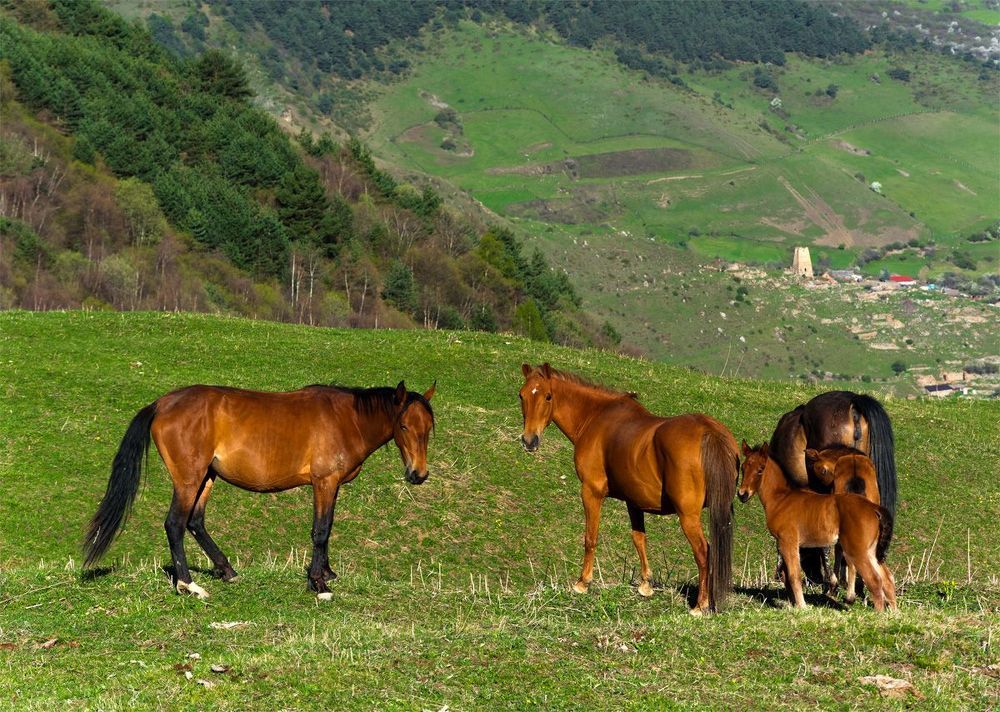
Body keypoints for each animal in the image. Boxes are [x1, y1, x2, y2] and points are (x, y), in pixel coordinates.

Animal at [83, 381, 435, 599]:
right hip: (189, 479)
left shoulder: (332, 486)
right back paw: (189, 585)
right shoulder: (324, 482)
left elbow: (328, 528)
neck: (346, 419)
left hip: (207, 477)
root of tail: (163, 403)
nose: (418, 474)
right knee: (175, 524)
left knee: (195, 522)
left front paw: (327, 572)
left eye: (429, 428)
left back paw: (227, 570)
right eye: (404, 426)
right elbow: (321, 530)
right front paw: (319, 583)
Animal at [518, 363, 738, 614]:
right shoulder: (634, 501)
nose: (529, 441)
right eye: (522, 395)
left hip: (688, 516)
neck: (596, 417)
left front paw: (583, 583)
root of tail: (710, 431)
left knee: (703, 552)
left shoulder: (591, 491)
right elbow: (639, 538)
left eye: (548, 396)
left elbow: (590, 537)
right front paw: (646, 584)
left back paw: (700, 605)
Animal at [738, 442, 897, 612]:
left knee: (874, 580)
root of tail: (873, 507)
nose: (742, 494)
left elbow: (794, 575)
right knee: (887, 578)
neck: (781, 498)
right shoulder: (784, 544)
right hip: (870, 551)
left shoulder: (788, 542)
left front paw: (802, 607)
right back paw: (894, 613)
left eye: (760, 469)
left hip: (857, 550)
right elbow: (786, 575)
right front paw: (793, 604)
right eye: (743, 467)